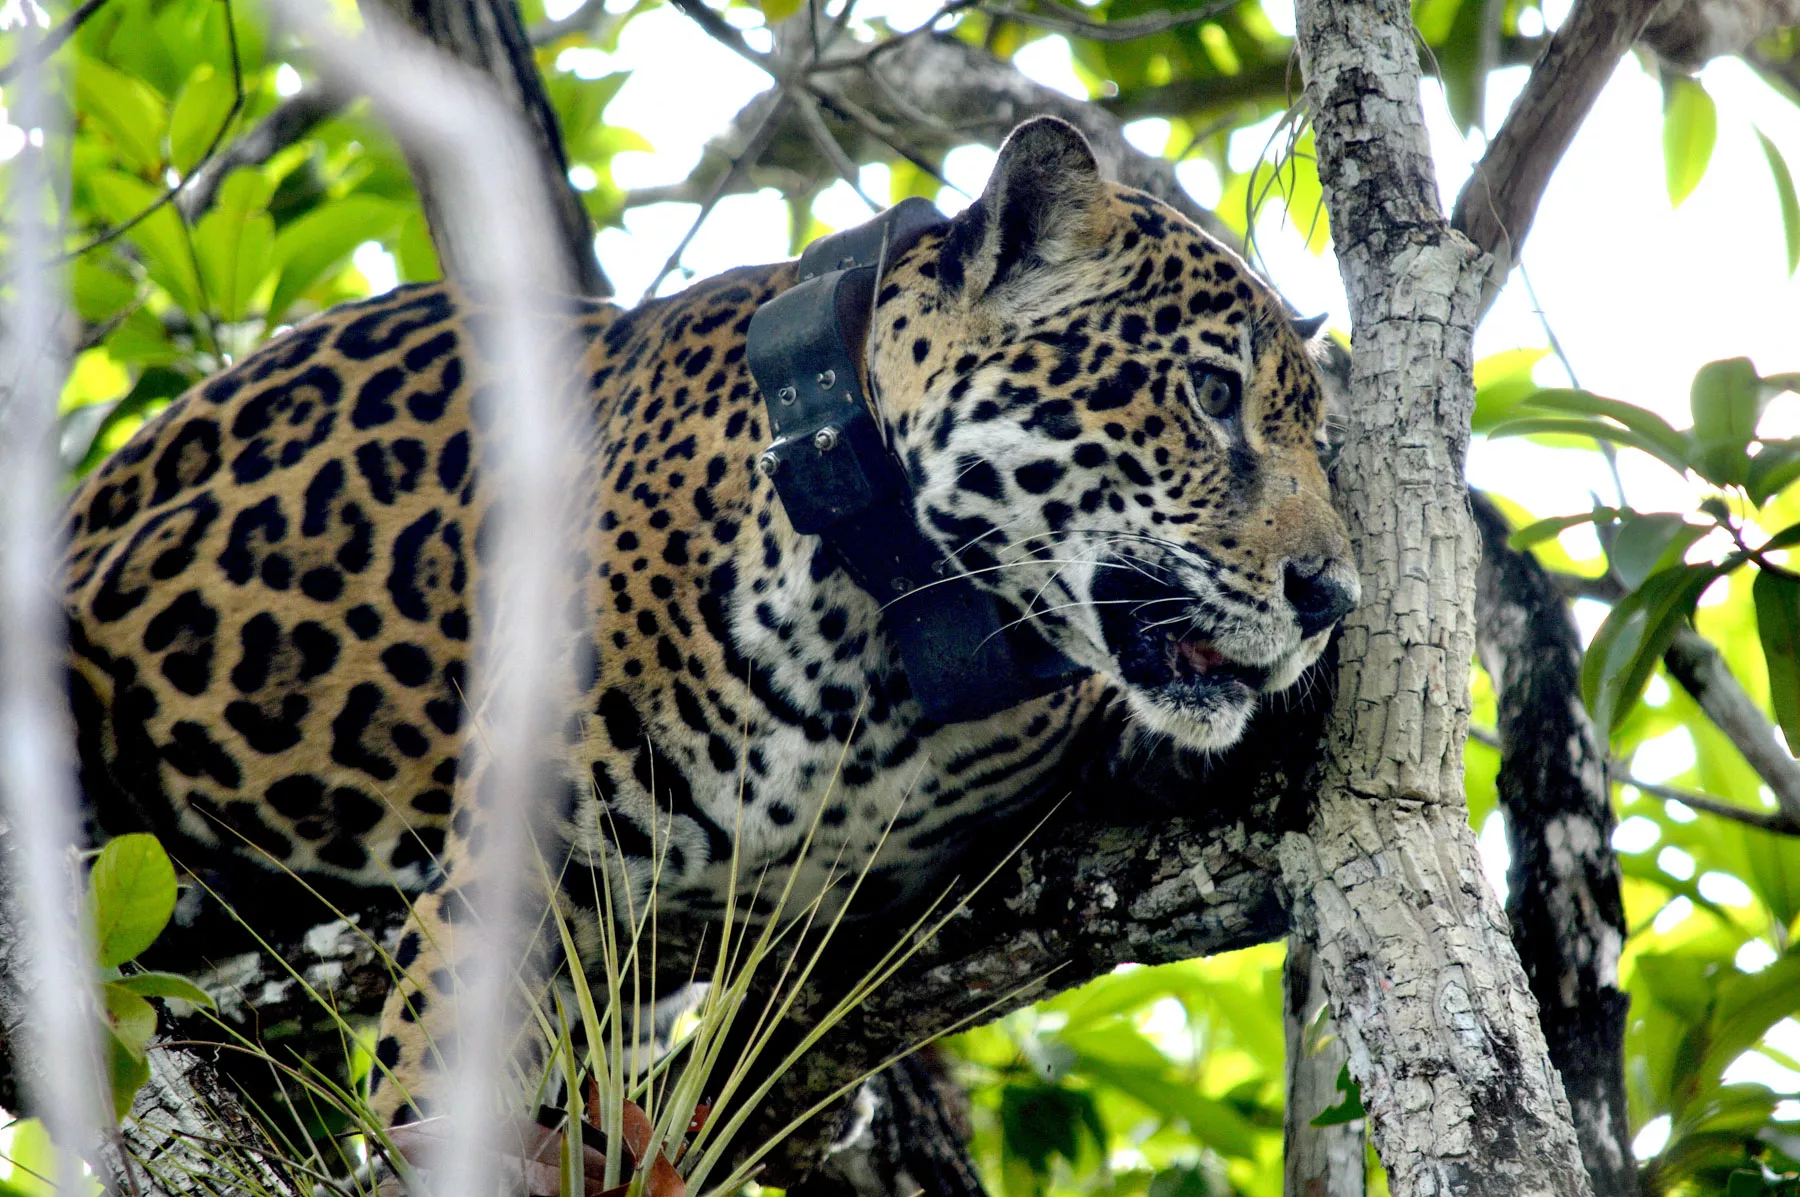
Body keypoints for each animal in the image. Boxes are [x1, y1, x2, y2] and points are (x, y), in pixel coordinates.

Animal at [59, 117, 1358, 1132]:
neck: (876, 659)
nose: (1333, 597)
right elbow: (434, 1098)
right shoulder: (518, 882)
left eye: (1320, 442)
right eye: (1211, 394)